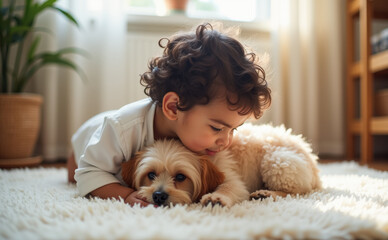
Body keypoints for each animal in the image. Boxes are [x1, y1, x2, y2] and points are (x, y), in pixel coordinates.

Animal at [121, 124, 322, 206]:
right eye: (151, 175)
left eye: (180, 177)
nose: (158, 196)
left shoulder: (231, 177)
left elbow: (228, 188)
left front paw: (216, 198)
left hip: (277, 162)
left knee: (298, 192)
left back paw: (266, 194)